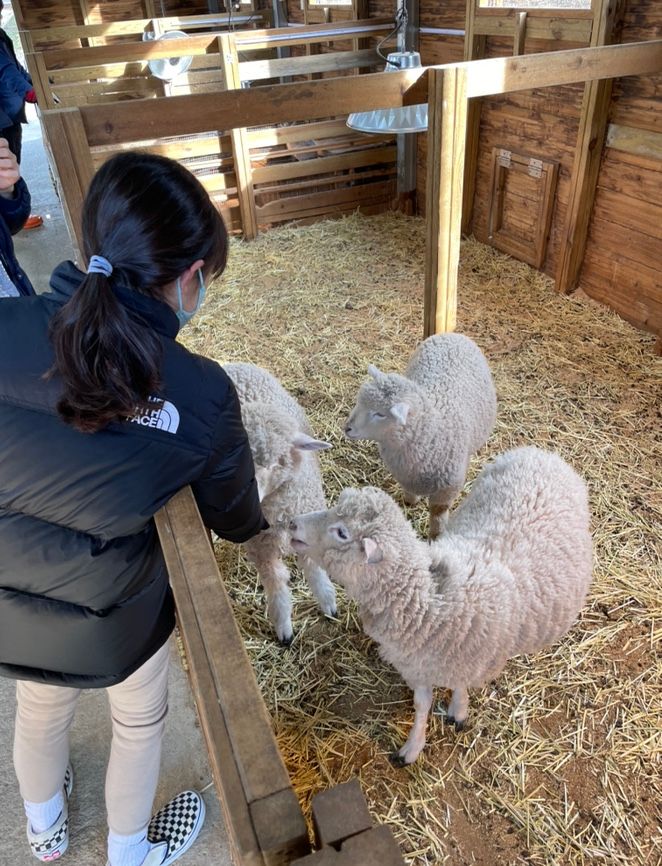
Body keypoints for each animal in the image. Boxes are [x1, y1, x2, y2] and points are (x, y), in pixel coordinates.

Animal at [224, 362, 338, 644]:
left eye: (276, 462)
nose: (247, 501)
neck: (280, 515)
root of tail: (235, 364)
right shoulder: (261, 548)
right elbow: (276, 585)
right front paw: (284, 627)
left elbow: (314, 569)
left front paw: (328, 602)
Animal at [290, 446, 596, 764]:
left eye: (342, 533)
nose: (293, 523)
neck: (428, 598)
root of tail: (539, 452)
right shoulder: (417, 664)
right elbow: (422, 704)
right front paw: (413, 746)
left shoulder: (469, 660)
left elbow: (460, 686)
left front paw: (458, 711)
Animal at [344, 334, 496, 536]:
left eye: (380, 414)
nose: (347, 428)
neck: (432, 433)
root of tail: (451, 335)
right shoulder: (406, 474)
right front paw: (410, 501)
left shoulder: (446, 490)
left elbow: (438, 516)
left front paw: (436, 536)